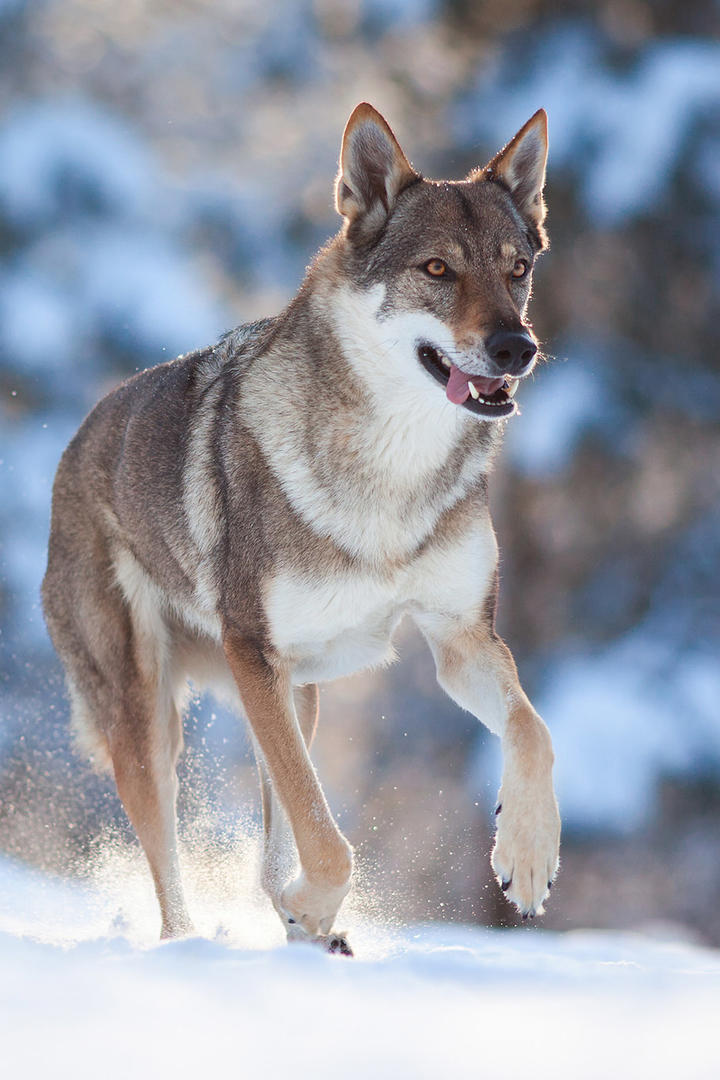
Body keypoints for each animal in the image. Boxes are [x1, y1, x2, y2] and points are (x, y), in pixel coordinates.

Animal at [42, 103, 561, 954]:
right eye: (437, 270)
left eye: (516, 268)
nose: (517, 348)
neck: (389, 473)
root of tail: (74, 444)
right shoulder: (255, 655)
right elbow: (328, 838)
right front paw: (315, 907)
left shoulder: (459, 641)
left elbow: (533, 731)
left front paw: (527, 856)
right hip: (154, 722)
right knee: (174, 879)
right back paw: (205, 942)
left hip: (299, 698)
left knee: (270, 847)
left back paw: (305, 930)